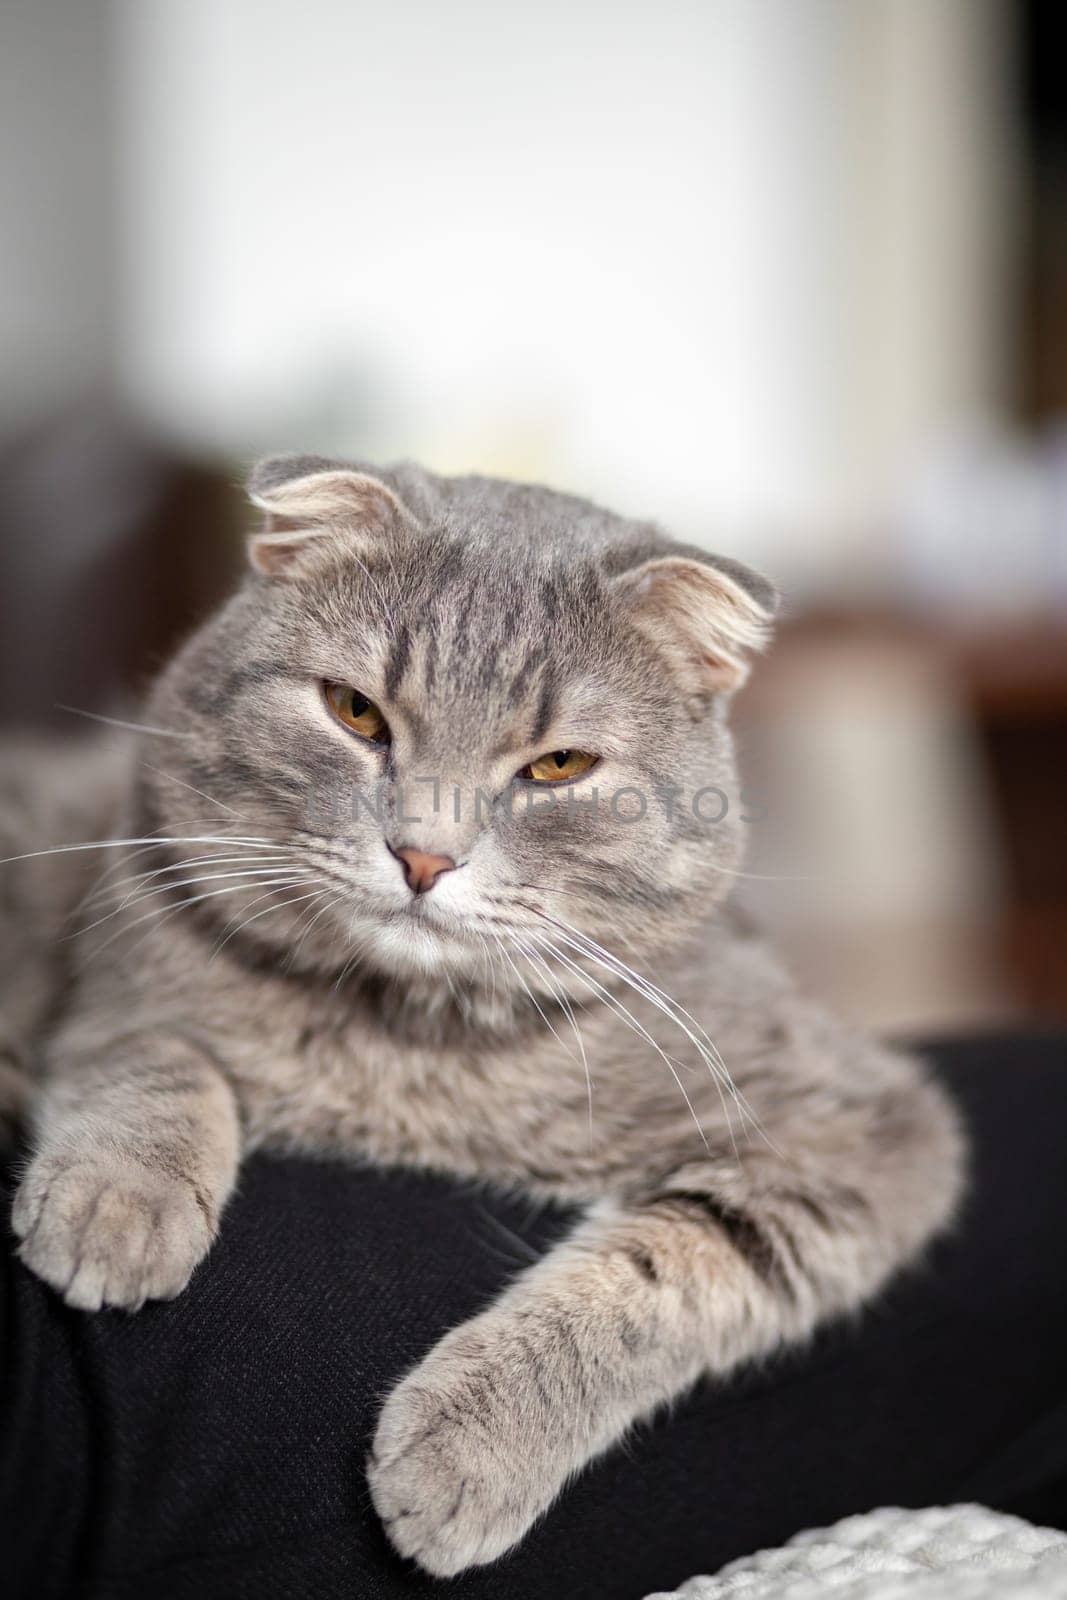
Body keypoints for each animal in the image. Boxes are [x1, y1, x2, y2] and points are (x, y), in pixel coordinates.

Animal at [2, 460, 966, 1574]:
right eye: (354, 712)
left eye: (557, 769)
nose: (423, 854)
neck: (405, 1044)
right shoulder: (112, 982)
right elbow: (155, 1054)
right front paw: (121, 1194)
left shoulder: (862, 1125)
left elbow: (658, 1270)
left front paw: (473, 1442)